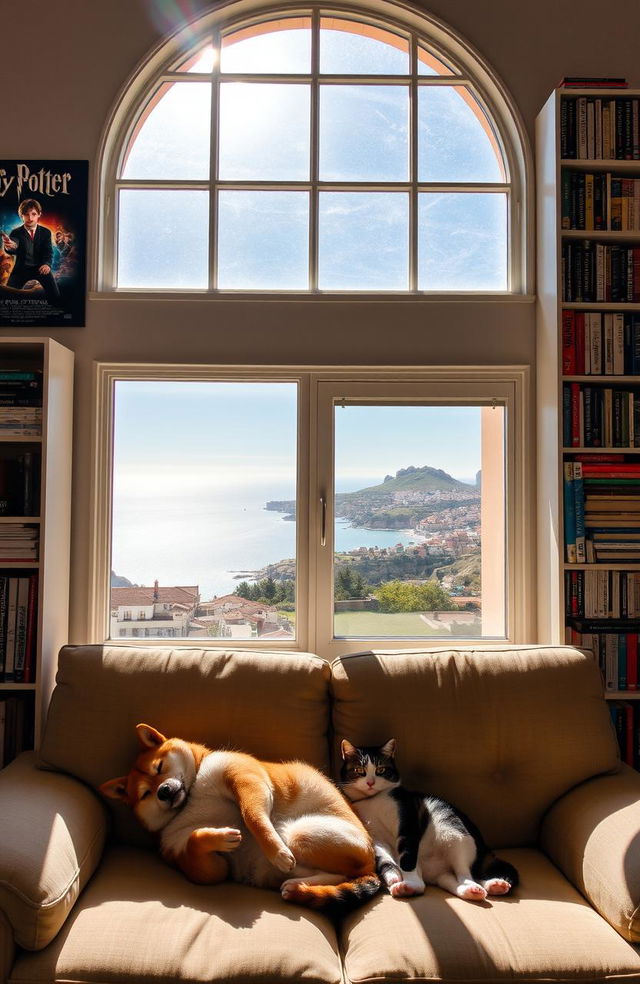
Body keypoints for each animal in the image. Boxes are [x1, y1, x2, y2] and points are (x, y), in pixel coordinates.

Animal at [100, 724, 380, 916]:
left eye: (158, 767)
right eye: (144, 794)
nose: (164, 792)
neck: (189, 799)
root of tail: (371, 861)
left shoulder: (244, 778)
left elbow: (252, 817)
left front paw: (276, 851)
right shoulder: (200, 862)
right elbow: (196, 844)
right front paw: (220, 837)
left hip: (300, 834)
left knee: (342, 872)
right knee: (339, 876)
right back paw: (298, 887)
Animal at [338, 736, 516, 900]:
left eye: (380, 770)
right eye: (359, 770)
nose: (370, 782)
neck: (372, 800)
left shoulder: (407, 821)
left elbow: (406, 858)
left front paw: (405, 880)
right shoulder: (377, 840)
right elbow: (386, 860)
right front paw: (394, 878)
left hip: (454, 832)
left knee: (466, 874)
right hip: (443, 873)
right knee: (449, 881)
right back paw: (481, 888)